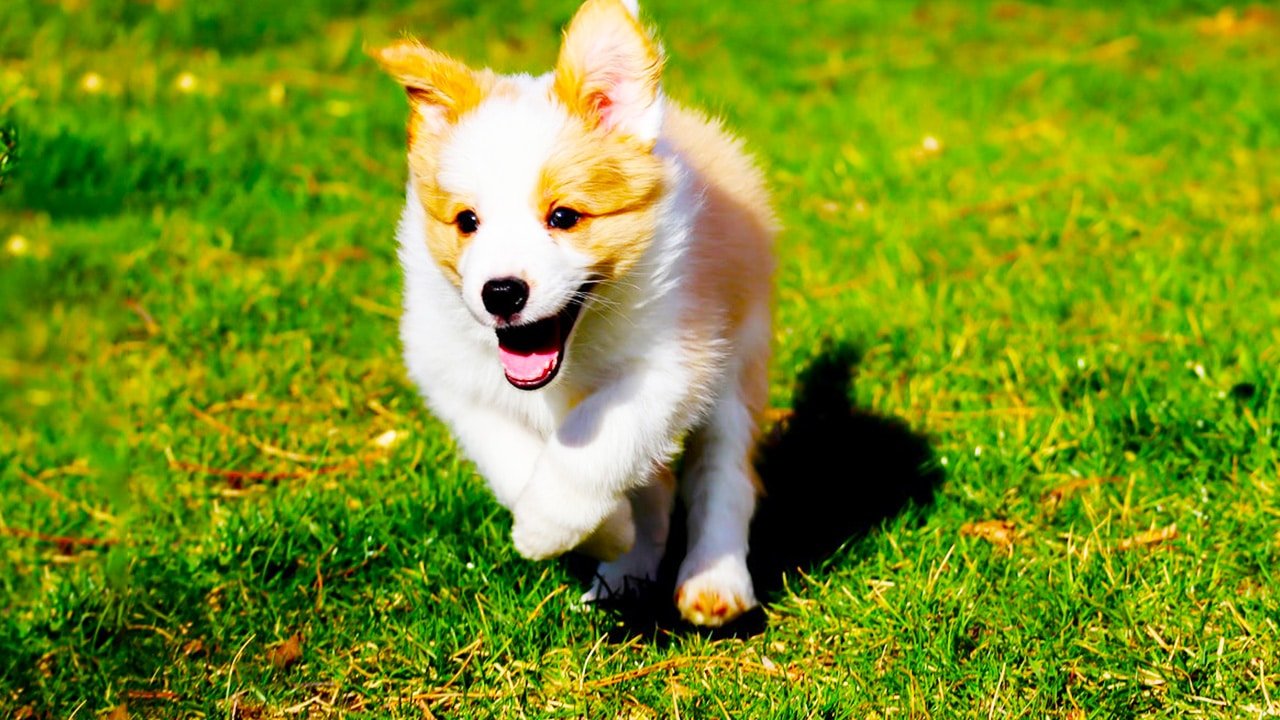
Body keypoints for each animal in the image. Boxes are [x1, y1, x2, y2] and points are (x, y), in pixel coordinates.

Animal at [373, 0, 773, 622]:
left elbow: (593, 443)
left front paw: (546, 529)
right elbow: (514, 461)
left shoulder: (674, 362)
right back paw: (627, 569)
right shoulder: (454, 378)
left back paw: (715, 581)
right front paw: (606, 533)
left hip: (739, 359)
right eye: (467, 221)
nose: (501, 293)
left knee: (723, 473)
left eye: (564, 217)